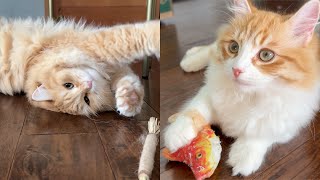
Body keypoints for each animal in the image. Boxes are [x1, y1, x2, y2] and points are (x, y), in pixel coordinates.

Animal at [0, 18, 160, 116]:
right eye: (86, 99)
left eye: (68, 85)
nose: (88, 85)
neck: (34, 59)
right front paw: (129, 103)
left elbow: (127, 79)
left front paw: (129, 100)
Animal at [165, 0, 320, 176]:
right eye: (234, 47)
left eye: (266, 55)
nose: (236, 70)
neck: (248, 95)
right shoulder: (210, 92)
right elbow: (195, 109)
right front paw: (177, 132)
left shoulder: (291, 118)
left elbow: (263, 131)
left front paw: (245, 154)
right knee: (213, 47)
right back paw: (191, 59)